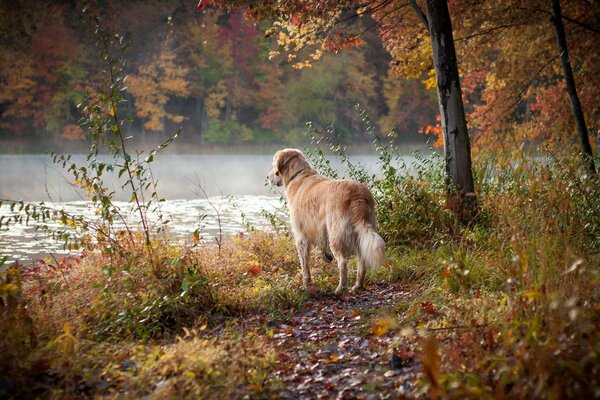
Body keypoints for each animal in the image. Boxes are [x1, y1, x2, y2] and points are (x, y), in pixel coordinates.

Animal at [266, 148, 384, 292]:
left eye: (273, 166)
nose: (267, 177)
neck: (298, 175)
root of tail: (357, 195)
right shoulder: (319, 229)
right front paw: (326, 257)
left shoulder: (301, 235)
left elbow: (304, 265)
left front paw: (306, 285)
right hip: (360, 232)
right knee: (362, 261)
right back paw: (357, 286)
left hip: (336, 235)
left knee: (343, 263)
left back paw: (340, 288)